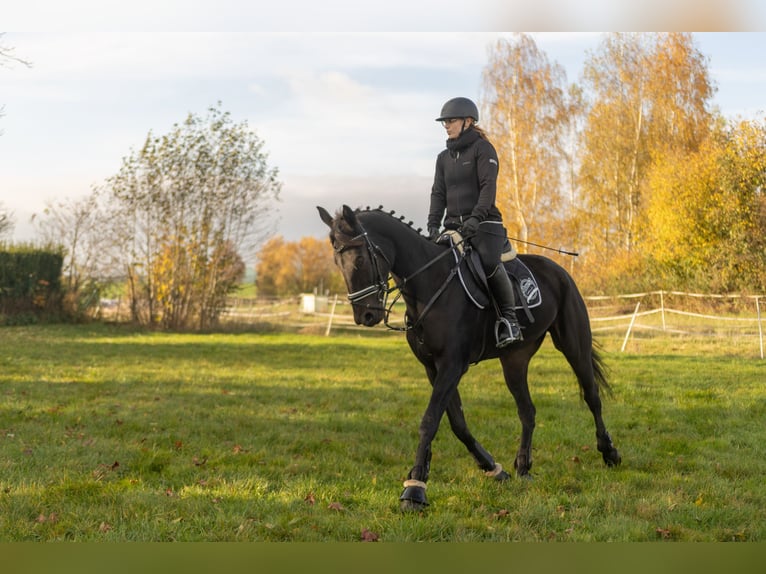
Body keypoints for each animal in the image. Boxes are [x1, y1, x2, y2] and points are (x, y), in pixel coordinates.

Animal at [318, 204, 624, 512]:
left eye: (360, 258)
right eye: (336, 260)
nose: (366, 316)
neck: (431, 284)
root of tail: (559, 270)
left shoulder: (453, 365)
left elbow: (430, 420)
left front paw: (414, 490)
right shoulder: (433, 368)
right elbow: (457, 423)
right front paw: (493, 468)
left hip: (574, 345)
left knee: (592, 397)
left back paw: (609, 453)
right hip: (514, 360)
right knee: (527, 410)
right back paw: (523, 467)